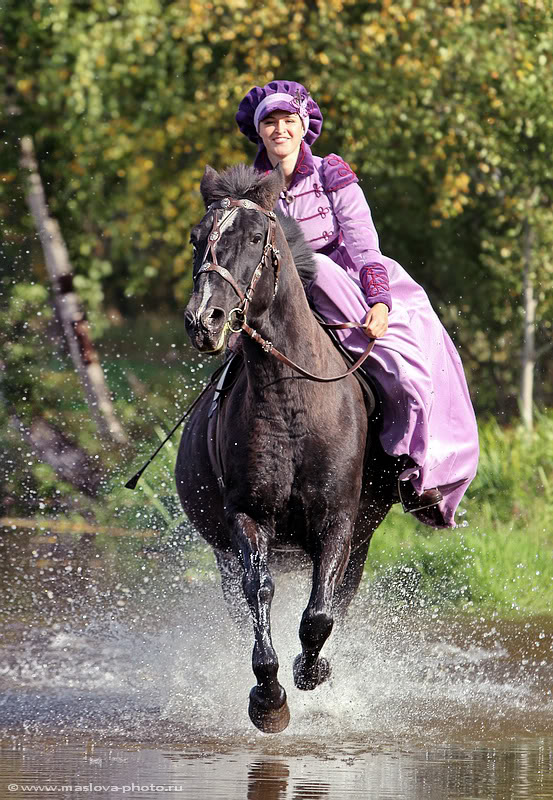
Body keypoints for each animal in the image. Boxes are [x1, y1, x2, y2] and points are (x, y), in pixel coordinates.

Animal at [177, 162, 396, 732]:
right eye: (197, 238)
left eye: (256, 237)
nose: (204, 320)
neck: (292, 404)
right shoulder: (247, 519)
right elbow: (261, 594)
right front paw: (269, 696)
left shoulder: (339, 522)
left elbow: (319, 613)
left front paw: (311, 672)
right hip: (223, 554)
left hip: (360, 540)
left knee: (336, 599)